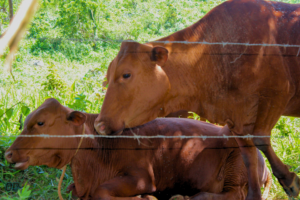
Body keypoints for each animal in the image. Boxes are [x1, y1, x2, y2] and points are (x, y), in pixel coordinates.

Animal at [4, 99, 272, 200]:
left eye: (40, 123)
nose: (8, 153)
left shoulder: (142, 177)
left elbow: (103, 192)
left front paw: (145, 198)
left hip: (237, 171)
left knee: (231, 195)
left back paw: (184, 197)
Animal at [94, 0, 300, 199]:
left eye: (126, 74)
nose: (99, 125)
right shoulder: (237, 118)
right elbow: (249, 157)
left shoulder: (279, 92)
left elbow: (260, 137)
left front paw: (289, 180)